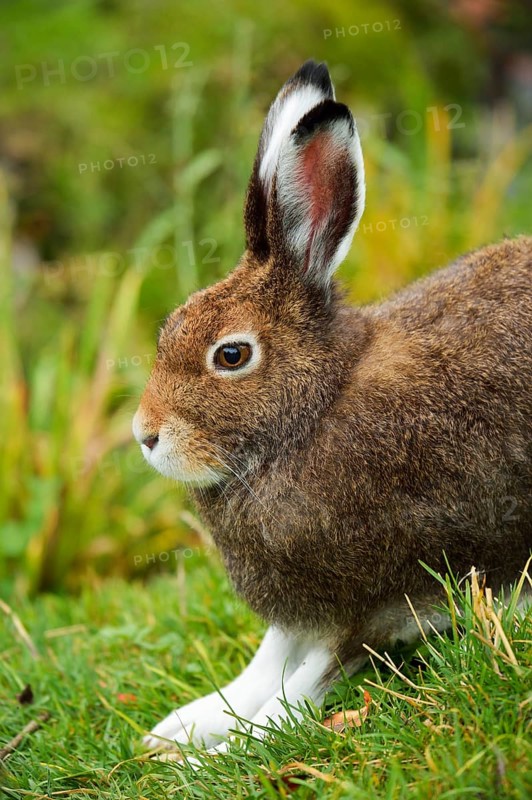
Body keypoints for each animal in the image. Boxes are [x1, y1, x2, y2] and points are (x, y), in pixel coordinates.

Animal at [133, 60, 531, 754]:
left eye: (231, 355)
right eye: (168, 329)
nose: (145, 434)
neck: (312, 411)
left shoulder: (377, 597)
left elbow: (300, 684)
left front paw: (223, 752)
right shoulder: (307, 607)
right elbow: (266, 660)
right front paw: (184, 728)